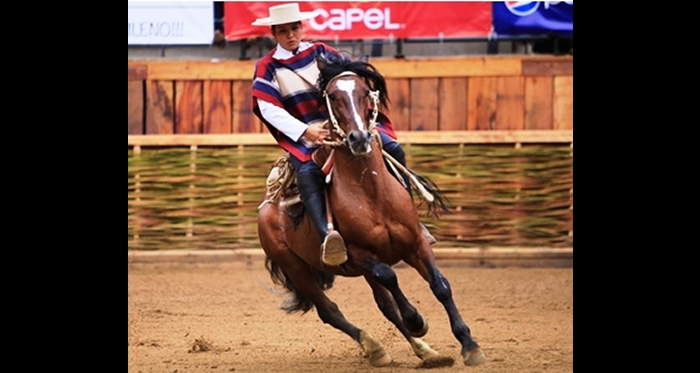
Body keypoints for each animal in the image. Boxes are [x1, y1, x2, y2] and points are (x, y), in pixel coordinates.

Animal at [258, 52, 486, 366]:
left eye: (365, 92)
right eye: (332, 96)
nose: (359, 138)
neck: (373, 193)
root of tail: (266, 208)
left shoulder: (415, 243)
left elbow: (440, 285)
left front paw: (469, 344)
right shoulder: (359, 254)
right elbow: (390, 277)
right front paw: (416, 319)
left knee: (385, 305)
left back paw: (424, 351)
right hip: (297, 269)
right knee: (330, 310)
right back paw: (375, 346)